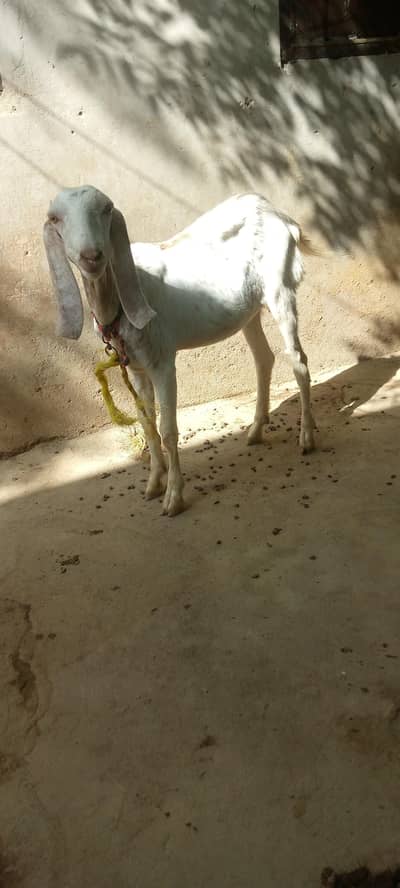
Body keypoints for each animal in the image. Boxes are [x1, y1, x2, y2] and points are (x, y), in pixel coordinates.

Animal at [43, 186, 315, 516]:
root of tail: (278, 214)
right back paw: (256, 430)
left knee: (299, 360)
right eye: (55, 218)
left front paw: (173, 497)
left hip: (281, 288)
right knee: (264, 358)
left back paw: (307, 437)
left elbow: (168, 428)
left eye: (106, 208)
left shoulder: (162, 361)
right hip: (249, 311)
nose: (91, 256)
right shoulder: (136, 366)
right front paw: (153, 483)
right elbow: (147, 424)